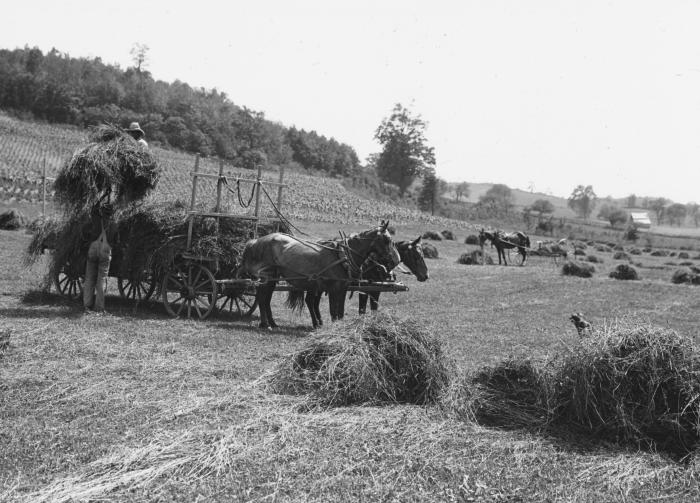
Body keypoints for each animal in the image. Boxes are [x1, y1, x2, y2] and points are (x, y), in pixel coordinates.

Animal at [238, 222, 400, 328]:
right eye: (387, 240)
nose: (396, 260)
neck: (342, 256)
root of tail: (255, 241)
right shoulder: (334, 288)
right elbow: (333, 311)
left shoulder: (342, 288)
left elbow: (340, 312)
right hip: (267, 276)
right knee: (262, 297)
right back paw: (265, 323)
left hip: (273, 278)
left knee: (266, 298)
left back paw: (272, 322)